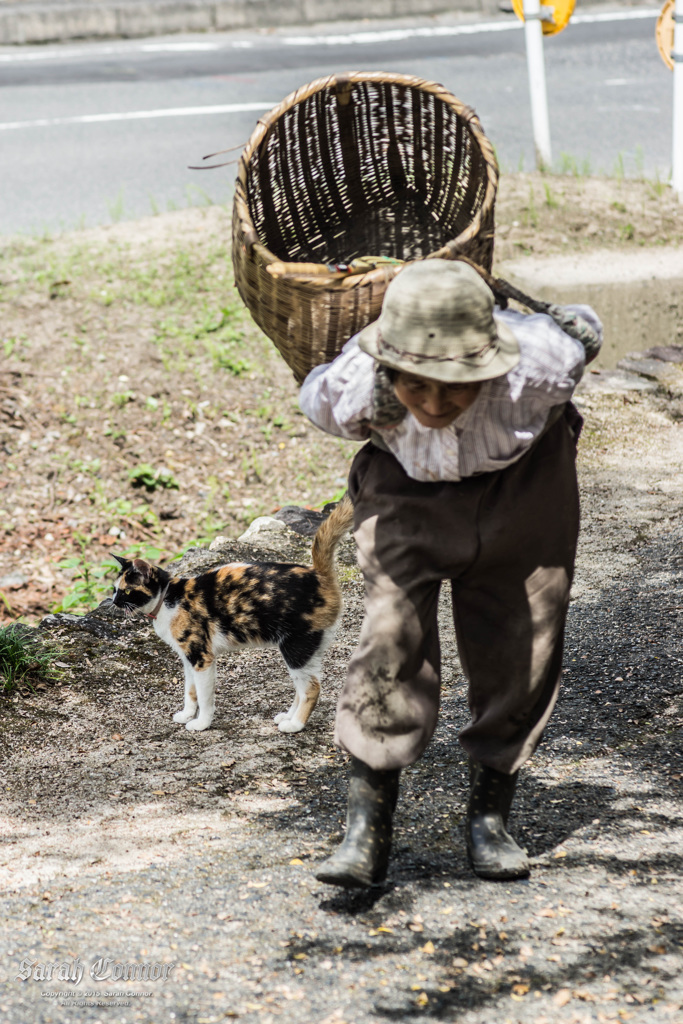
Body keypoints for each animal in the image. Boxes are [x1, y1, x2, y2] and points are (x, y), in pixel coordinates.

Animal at [109, 497, 356, 733]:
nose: (114, 601)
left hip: (296, 648)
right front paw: (187, 715)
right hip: (306, 652)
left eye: (127, 591)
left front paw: (201, 723)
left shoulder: (202, 658)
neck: (168, 598)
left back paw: (295, 725)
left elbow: (204, 697)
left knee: (312, 688)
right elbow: (190, 691)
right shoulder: (187, 659)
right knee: (301, 686)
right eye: (114, 589)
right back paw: (287, 717)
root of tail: (318, 575)